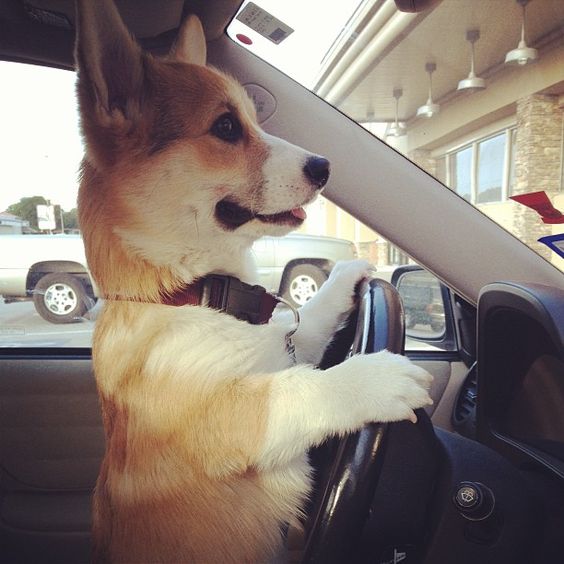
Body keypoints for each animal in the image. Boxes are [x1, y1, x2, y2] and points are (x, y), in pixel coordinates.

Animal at [75, 2, 432, 560]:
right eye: (225, 126)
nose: (325, 166)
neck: (190, 295)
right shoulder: (228, 418)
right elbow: (296, 390)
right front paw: (373, 378)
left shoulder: (287, 346)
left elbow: (313, 322)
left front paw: (347, 272)